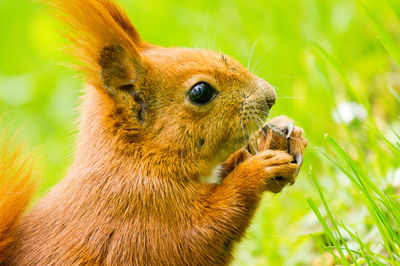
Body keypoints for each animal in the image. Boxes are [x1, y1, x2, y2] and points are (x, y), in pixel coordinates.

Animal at [0, 1, 308, 264]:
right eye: (200, 92)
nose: (270, 96)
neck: (138, 158)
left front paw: (282, 136)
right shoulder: (147, 210)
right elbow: (210, 228)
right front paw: (257, 171)